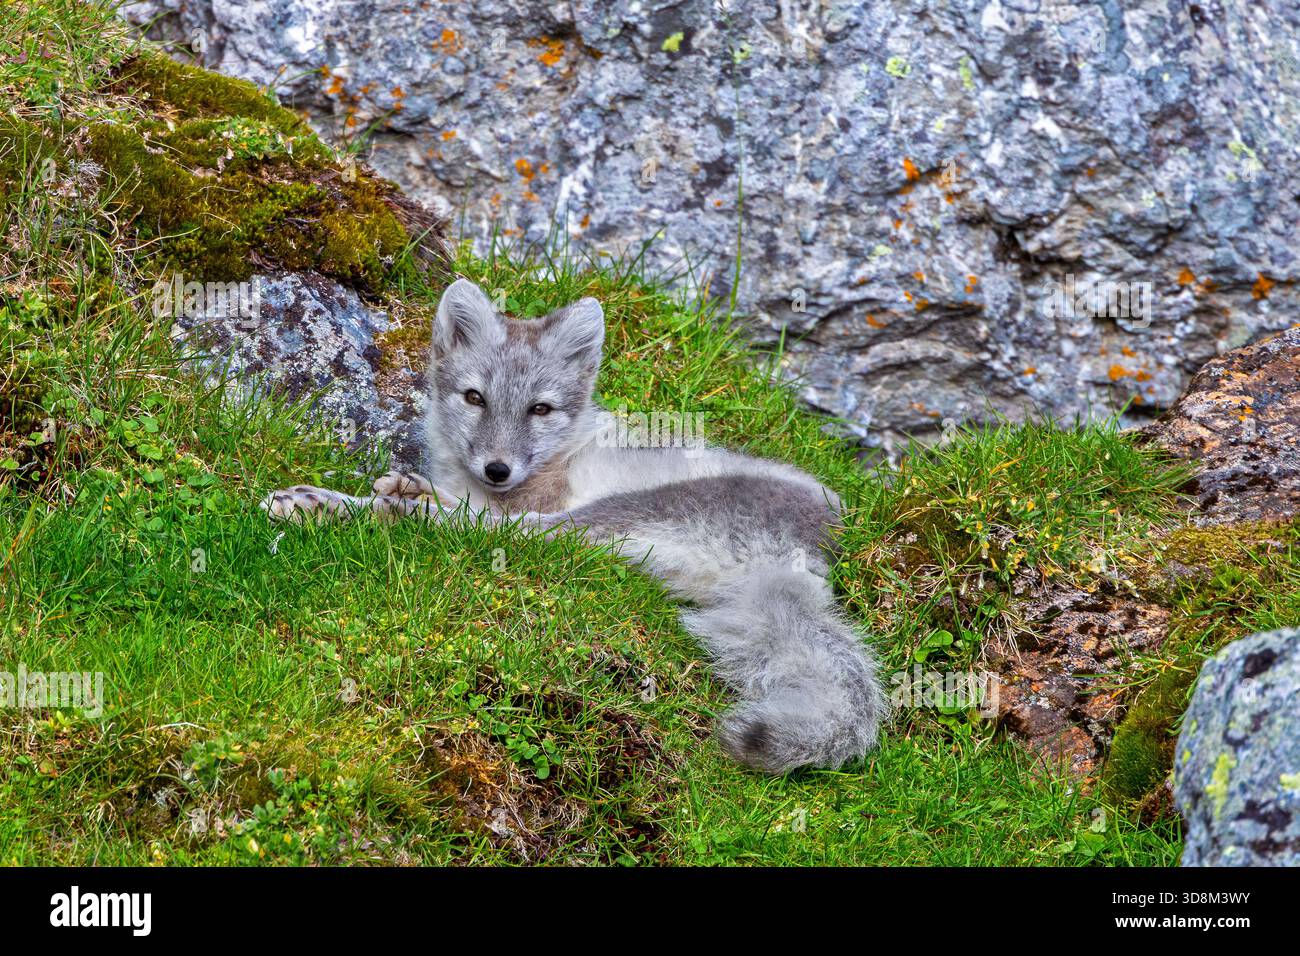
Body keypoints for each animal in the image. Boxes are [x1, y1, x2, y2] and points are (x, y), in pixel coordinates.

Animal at [263, 278, 885, 772]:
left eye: (540, 409)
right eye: (474, 397)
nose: (497, 468)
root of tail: (812, 559)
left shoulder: (521, 502)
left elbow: (471, 515)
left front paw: (358, 499)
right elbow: (452, 496)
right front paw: (396, 485)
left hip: (613, 513)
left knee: (494, 534)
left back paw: (359, 508)